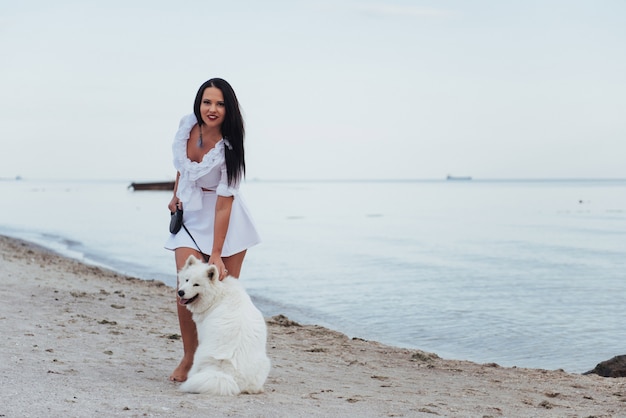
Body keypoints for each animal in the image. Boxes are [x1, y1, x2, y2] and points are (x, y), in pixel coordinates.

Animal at [177, 255, 272, 396]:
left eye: (196, 284)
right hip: (265, 363)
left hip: (199, 355)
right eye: (187, 279)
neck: (219, 293)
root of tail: (228, 375)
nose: (180, 292)